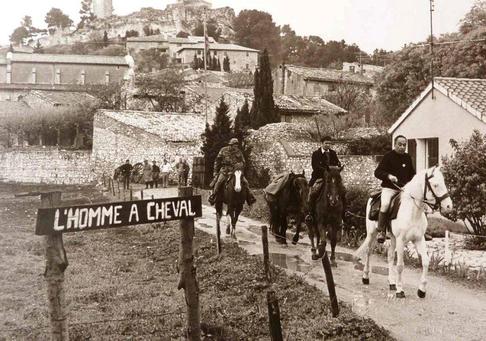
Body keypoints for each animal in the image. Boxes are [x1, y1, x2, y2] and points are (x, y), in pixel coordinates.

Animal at [356, 167, 454, 298]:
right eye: (435, 185)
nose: (449, 206)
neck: (413, 212)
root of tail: (373, 196)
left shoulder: (419, 239)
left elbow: (425, 261)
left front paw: (421, 290)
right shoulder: (401, 240)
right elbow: (400, 265)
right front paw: (400, 290)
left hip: (392, 238)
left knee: (390, 255)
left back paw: (391, 283)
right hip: (372, 233)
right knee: (368, 252)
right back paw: (366, 277)